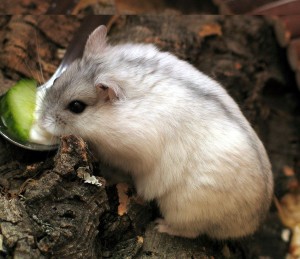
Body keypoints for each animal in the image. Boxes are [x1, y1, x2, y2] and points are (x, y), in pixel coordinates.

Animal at [39, 25, 274, 241]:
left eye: (76, 106)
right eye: (57, 80)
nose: (41, 121)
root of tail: (254, 222)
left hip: (184, 209)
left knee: (191, 231)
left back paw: (160, 226)